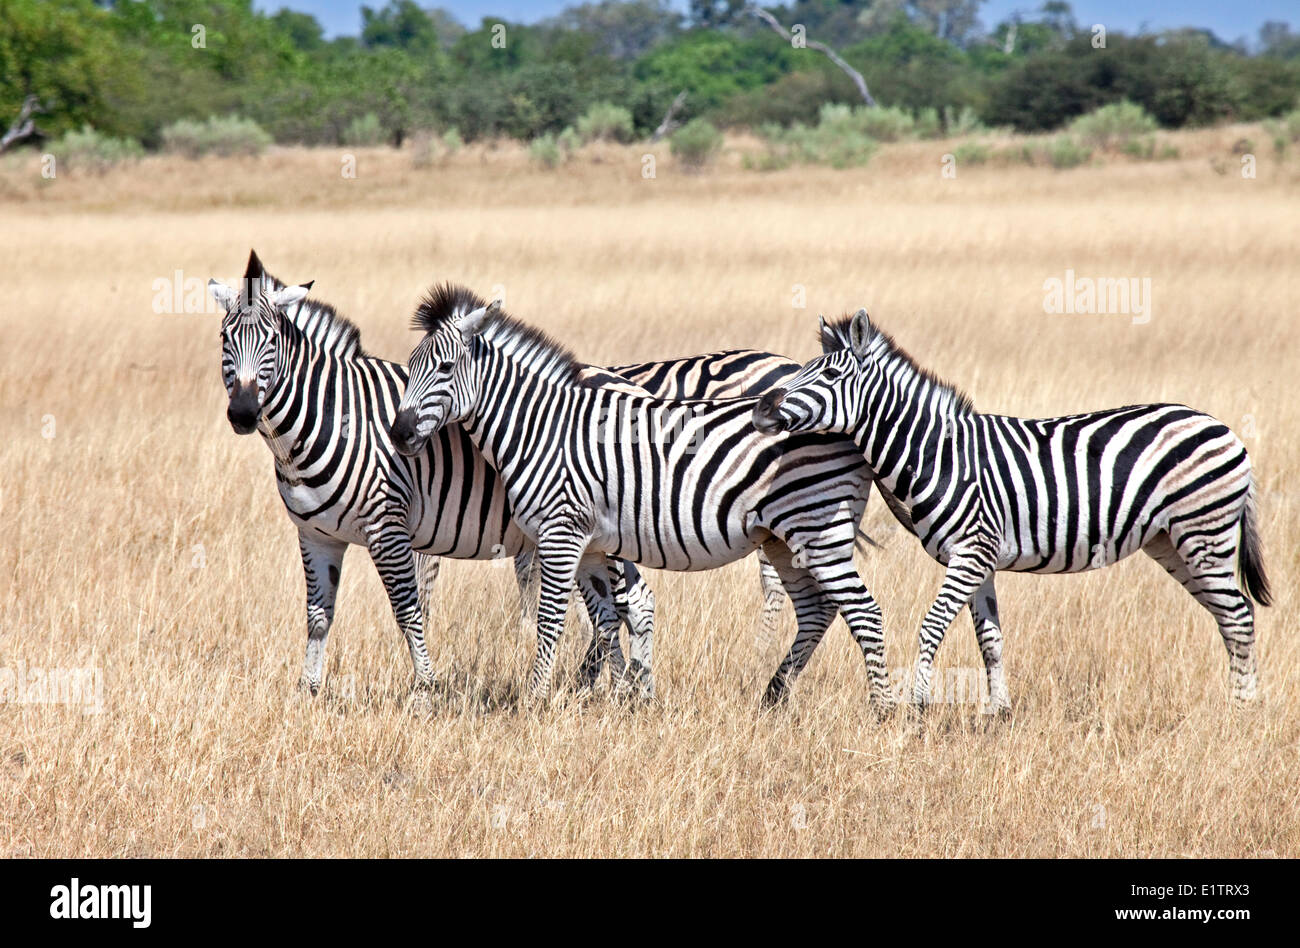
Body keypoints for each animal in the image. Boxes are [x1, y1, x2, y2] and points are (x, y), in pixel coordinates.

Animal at [390, 284, 889, 707]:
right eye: (410, 368)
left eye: (445, 368)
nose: (398, 433)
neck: (543, 426)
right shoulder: (587, 542)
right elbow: (606, 616)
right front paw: (616, 696)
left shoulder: (559, 532)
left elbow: (550, 617)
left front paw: (534, 702)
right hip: (786, 538)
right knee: (818, 608)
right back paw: (775, 693)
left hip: (814, 529)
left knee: (856, 609)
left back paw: (875, 706)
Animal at [754, 306, 1268, 707]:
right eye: (802, 369)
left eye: (829, 375)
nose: (762, 410)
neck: (939, 453)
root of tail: (1224, 429)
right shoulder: (978, 559)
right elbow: (990, 640)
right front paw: (997, 714)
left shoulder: (971, 552)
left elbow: (932, 626)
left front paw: (917, 707)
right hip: (1171, 542)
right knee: (1229, 616)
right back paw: (1241, 702)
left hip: (1204, 533)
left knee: (1239, 616)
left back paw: (1241, 714)